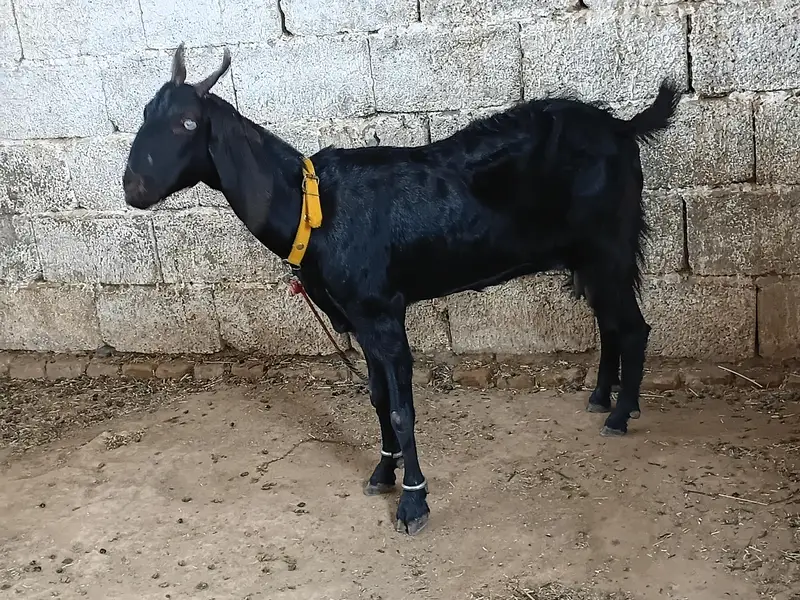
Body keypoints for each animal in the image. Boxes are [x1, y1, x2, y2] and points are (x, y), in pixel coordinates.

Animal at [122, 45, 679, 536]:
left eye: (188, 123)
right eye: (145, 112)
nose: (134, 188)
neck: (312, 206)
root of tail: (623, 127)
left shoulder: (383, 312)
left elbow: (400, 406)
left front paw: (413, 502)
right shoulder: (357, 318)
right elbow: (374, 397)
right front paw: (382, 472)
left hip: (610, 244)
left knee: (633, 325)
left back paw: (622, 413)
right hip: (587, 257)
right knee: (609, 322)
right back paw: (601, 397)